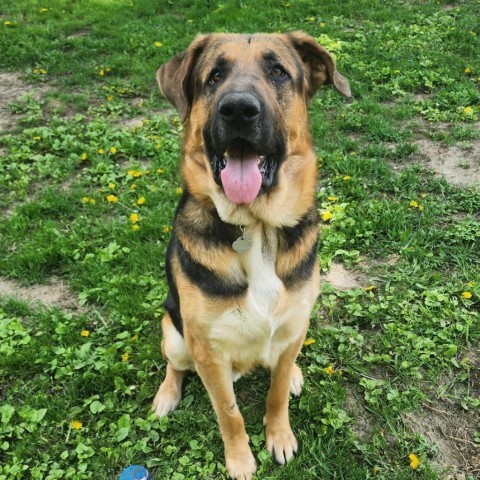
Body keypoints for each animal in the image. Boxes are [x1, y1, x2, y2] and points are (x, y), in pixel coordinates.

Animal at [152, 31, 350, 478]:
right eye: (214, 76)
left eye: (278, 71)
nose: (238, 110)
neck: (255, 228)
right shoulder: (207, 352)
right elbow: (229, 413)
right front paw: (240, 459)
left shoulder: (293, 324)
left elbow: (274, 394)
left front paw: (279, 436)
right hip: (174, 334)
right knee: (175, 365)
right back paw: (167, 394)